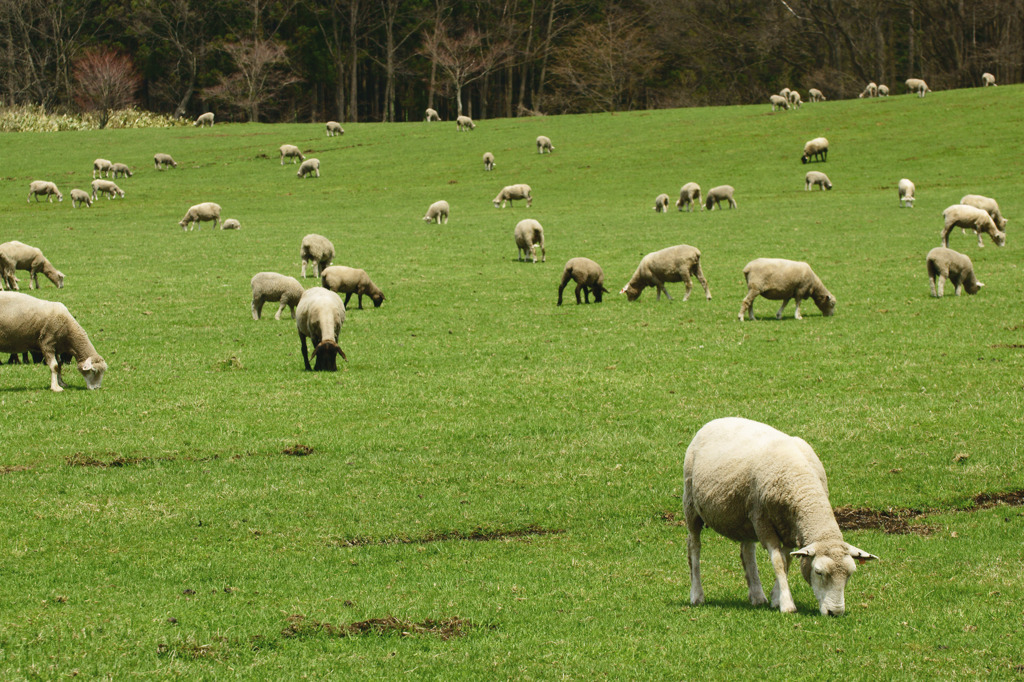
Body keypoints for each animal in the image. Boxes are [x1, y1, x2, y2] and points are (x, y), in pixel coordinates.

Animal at [684, 417, 876, 614]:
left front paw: (776, 597)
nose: (835, 612)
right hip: (691, 503)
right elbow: (778, 561)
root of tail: (719, 419)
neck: (802, 483)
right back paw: (697, 595)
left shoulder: (790, 529)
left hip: (745, 516)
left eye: (850, 574)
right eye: (819, 572)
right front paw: (786, 603)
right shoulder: (763, 521)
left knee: (747, 550)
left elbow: (787, 560)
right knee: (694, 546)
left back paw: (757, 595)